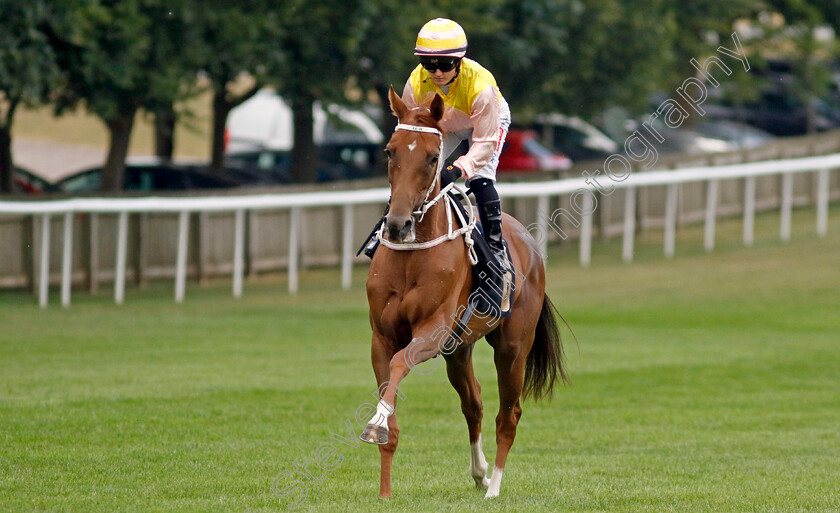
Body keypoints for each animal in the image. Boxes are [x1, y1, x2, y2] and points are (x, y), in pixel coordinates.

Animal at [362, 86, 572, 498]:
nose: (397, 225)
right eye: (390, 151)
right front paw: (384, 490)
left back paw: (495, 488)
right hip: (458, 349)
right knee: (473, 403)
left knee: (508, 414)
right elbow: (390, 395)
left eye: (433, 157)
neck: (412, 255)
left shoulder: (431, 330)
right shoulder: (383, 335)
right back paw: (481, 474)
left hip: (512, 347)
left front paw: (376, 422)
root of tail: (530, 245)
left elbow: (400, 364)